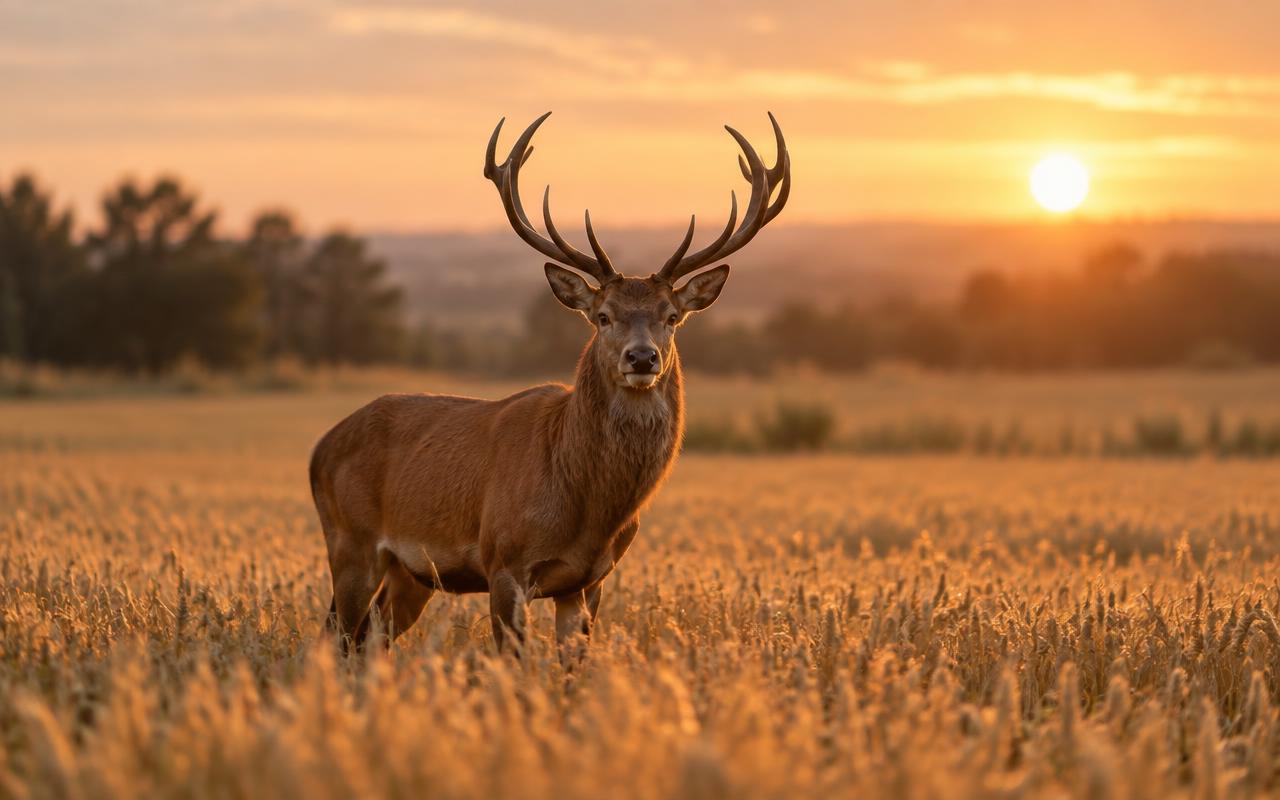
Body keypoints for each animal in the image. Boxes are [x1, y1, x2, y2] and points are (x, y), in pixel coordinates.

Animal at [310, 111, 789, 657]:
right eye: (602, 315)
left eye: (671, 317)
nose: (642, 357)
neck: (587, 507)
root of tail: (321, 447)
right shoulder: (504, 561)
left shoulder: (589, 581)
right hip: (350, 542)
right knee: (336, 635)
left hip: (410, 574)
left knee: (369, 640)